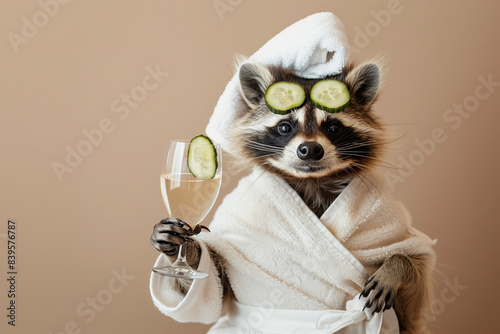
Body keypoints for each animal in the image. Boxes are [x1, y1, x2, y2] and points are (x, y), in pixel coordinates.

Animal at [151, 60, 434, 334]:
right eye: (285, 126)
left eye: (333, 127)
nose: (310, 149)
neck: (312, 182)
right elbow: (216, 293)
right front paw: (187, 251)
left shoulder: (394, 233)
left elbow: (414, 293)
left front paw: (397, 266)